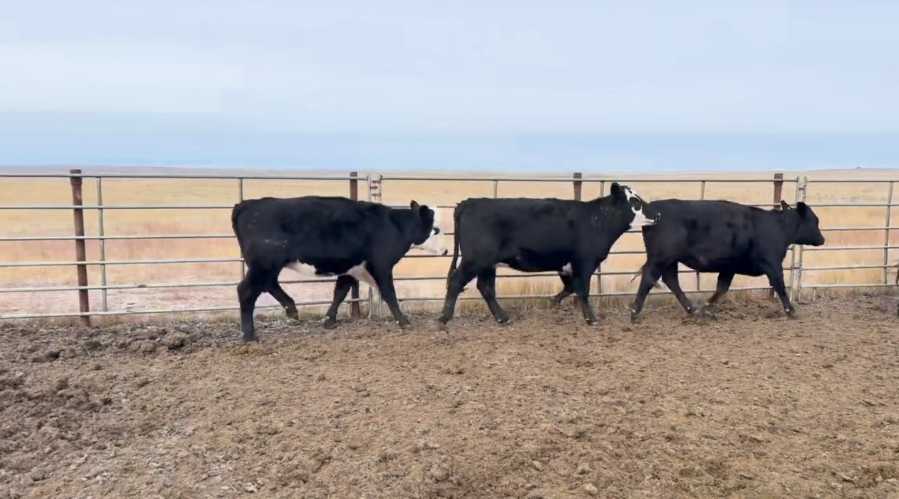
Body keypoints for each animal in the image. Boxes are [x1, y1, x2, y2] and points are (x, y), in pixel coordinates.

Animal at [231, 195, 448, 342]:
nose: (446, 250)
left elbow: (340, 292)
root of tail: (246, 205)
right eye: (436, 229)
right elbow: (389, 293)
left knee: (267, 284)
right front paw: (403, 322)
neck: (393, 226)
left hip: (266, 266)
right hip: (264, 264)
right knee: (247, 290)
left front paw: (329, 320)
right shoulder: (381, 265)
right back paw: (250, 335)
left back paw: (291, 309)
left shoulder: (351, 268)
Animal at [437, 183, 661, 327]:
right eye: (635, 202)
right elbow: (582, 290)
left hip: (486, 263)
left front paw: (553, 301)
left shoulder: (567, 265)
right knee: (457, 282)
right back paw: (444, 318)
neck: (597, 219)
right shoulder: (584, 262)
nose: (657, 214)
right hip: (475, 259)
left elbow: (571, 287)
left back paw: (503, 318)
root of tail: (469, 202)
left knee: (485, 288)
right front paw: (591, 319)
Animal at [628, 199, 826, 323]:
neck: (777, 227)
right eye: (814, 220)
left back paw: (692, 310)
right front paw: (791, 311)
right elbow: (780, 286)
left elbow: (722, 288)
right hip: (661, 257)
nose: (822, 239)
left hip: (670, 260)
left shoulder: (729, 267)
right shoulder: (772, 264)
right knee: (649, 279)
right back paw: (634, 313)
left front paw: (706, 307)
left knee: (671, 281)